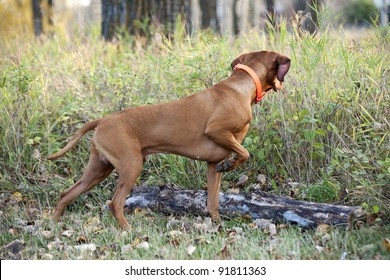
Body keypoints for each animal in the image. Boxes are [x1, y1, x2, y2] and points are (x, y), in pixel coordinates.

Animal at [48, 50, 290, 230]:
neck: (240, 87)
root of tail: (102, 120)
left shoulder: (212, 165)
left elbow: (213, 203)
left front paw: (218, 225)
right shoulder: (217, 131)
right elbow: (244, 153)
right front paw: (231, 165)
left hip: (98, 169)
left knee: (65, 194)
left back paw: (54, 224)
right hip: (131, 165)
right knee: (115, 203)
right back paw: (127, 230)